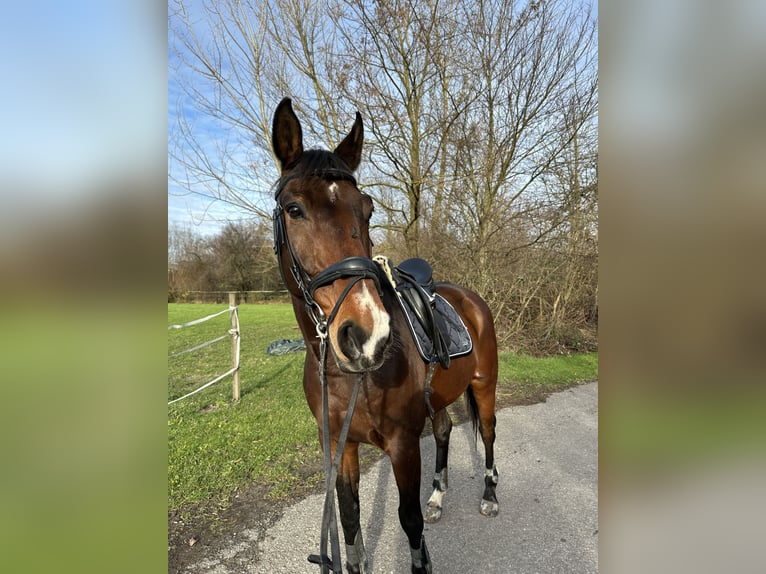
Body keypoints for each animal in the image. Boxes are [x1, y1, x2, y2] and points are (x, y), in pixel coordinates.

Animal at [271, 98, 499, 574]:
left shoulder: (402, 444)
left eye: (368, 209)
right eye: (294, 208)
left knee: (487, 435)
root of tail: (472, 298)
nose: (366, 336)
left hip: (484, 387)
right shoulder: (339, 446)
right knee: (445, 430)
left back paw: (489, 496)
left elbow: (409, 521)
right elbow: (350, 521)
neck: (345, 377)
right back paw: (439, 497)